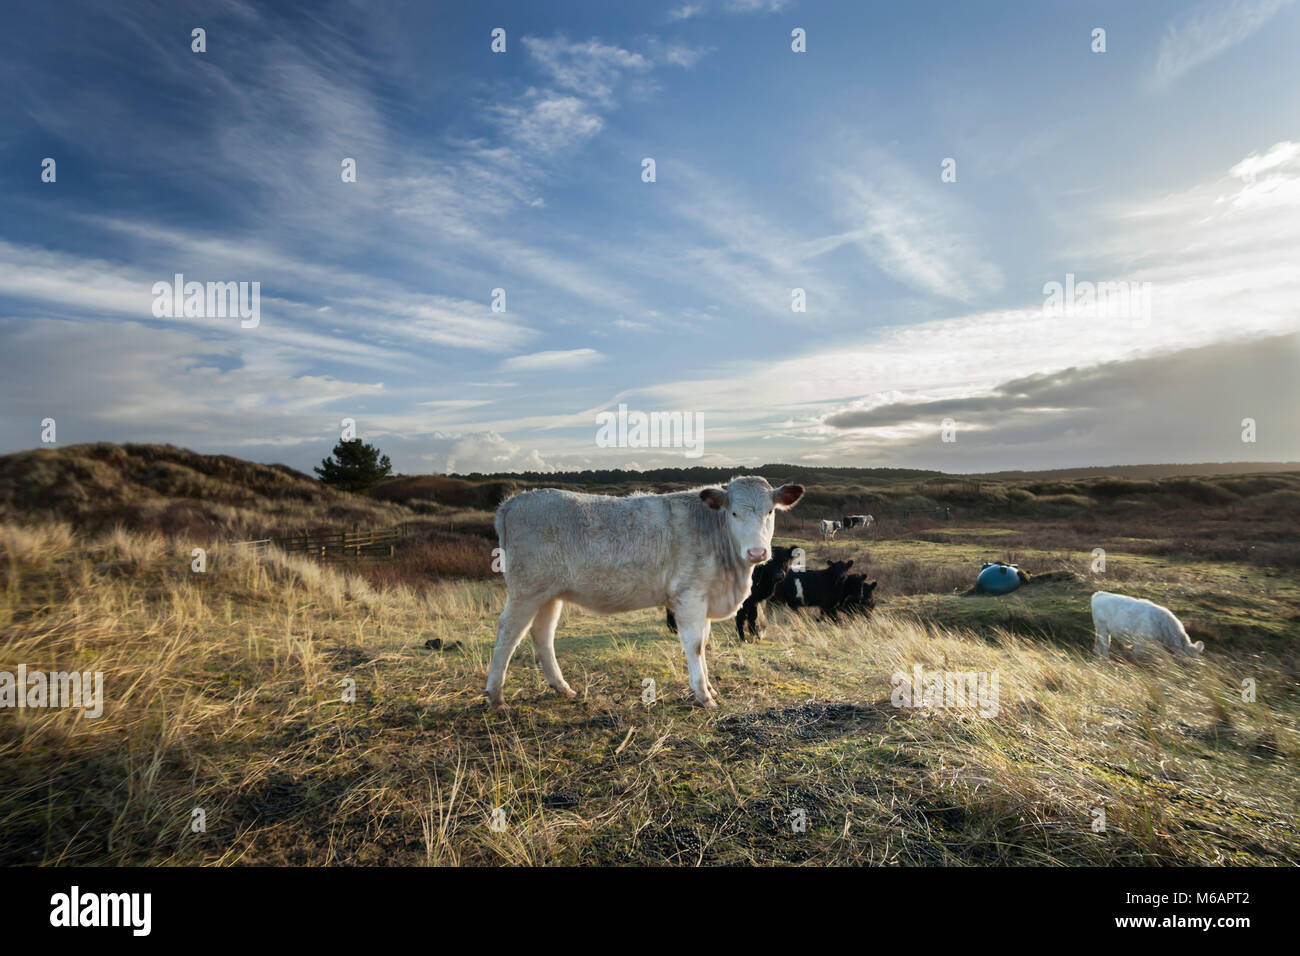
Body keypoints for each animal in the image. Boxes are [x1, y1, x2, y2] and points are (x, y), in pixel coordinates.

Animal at [665, 546, 795, 642]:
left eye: (785, 560)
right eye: (771, 560)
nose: (779, 574)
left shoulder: (753, 600)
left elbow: (753, 616)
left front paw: (755, 635)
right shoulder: (745, 601)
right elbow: (741, 617)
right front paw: (742, 638)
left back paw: (673, 629)